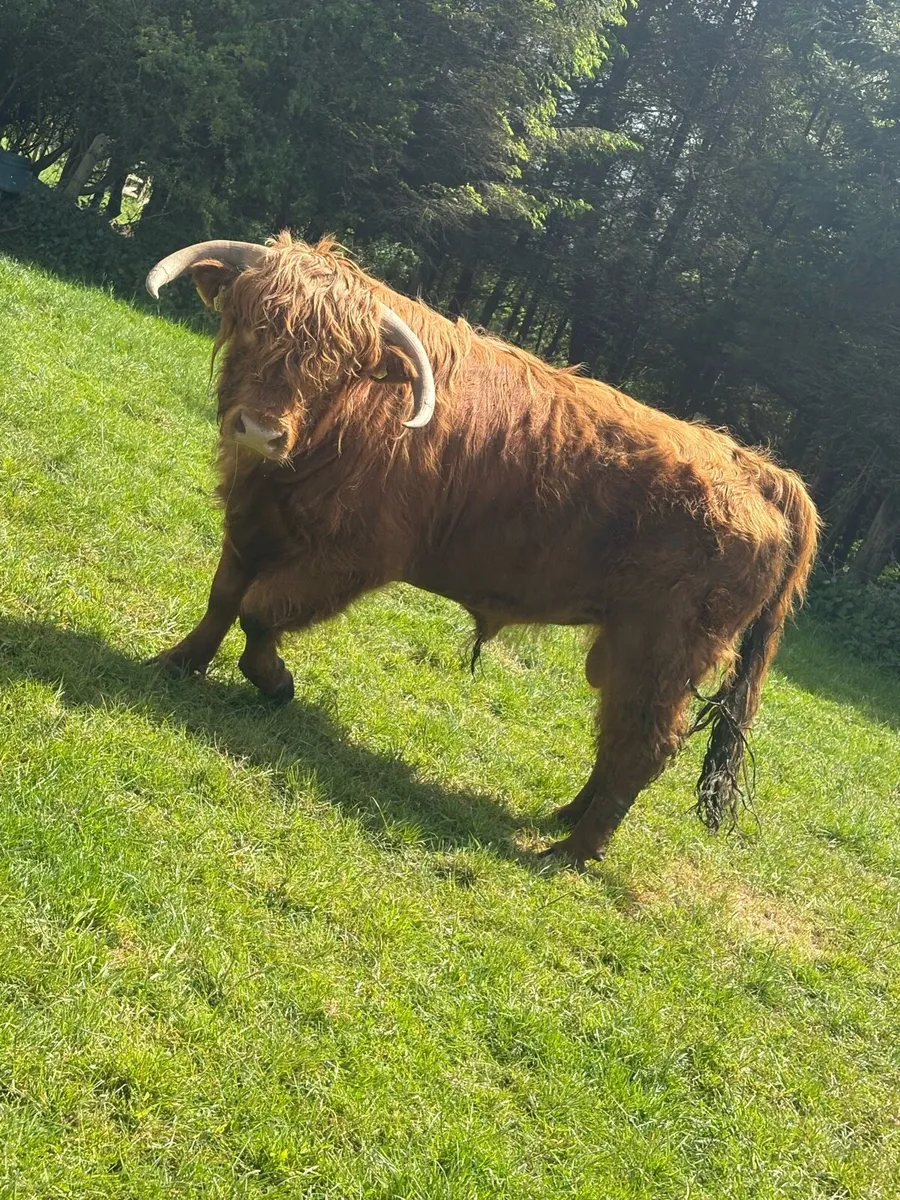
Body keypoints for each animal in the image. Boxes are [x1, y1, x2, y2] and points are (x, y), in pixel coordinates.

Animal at [144, 234, 820, 866]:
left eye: (335, 365)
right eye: (253, 324)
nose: (260, 430)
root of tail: (757, 467)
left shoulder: (351, 554)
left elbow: (260, 609)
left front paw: (276, 682)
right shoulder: (251, 518)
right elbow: (223, 598)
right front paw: (176, 662)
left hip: (666, 644)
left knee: (646, 741)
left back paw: (570, 852)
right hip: (625, 643)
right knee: (617, 728)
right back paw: (564, 815)